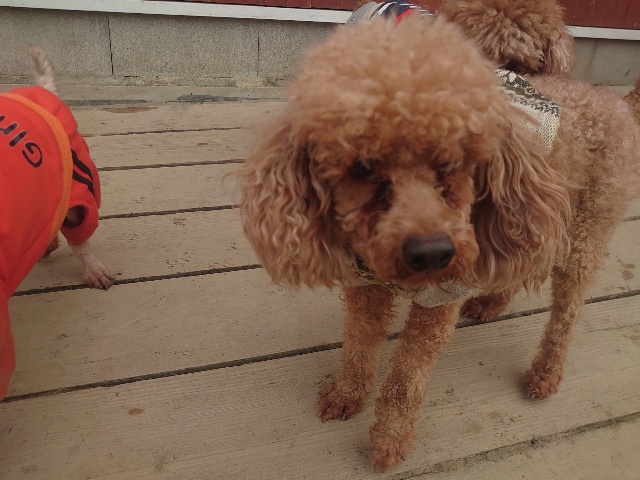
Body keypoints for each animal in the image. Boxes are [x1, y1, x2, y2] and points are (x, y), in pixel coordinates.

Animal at [237, 15, 640, 471]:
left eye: (455, 161)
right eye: (362, 166)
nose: (432, 253)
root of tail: (617, 102)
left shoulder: (438, 302)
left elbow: (406, 378)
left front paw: (390, 441)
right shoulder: (366, 286)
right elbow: (358, 343)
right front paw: (346, 395)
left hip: (586, 230)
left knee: (567, 313)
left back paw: (545, 373)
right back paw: (490, 303)